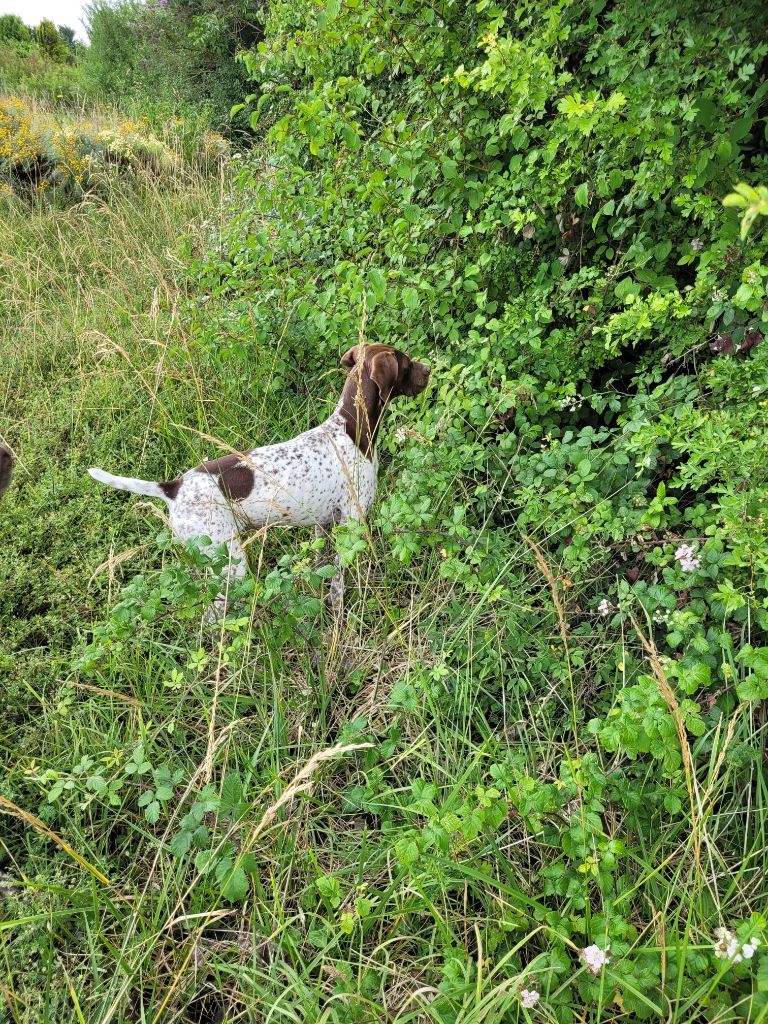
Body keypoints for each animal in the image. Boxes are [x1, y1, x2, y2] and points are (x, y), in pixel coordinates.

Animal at [88, 344, 434, 614]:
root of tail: (173, 487)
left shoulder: (325, 523)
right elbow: (340, 579)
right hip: (229, 561)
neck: (350, 427)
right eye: (405, 362)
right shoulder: (352, 521)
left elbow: (322, 565)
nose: (429, 369)